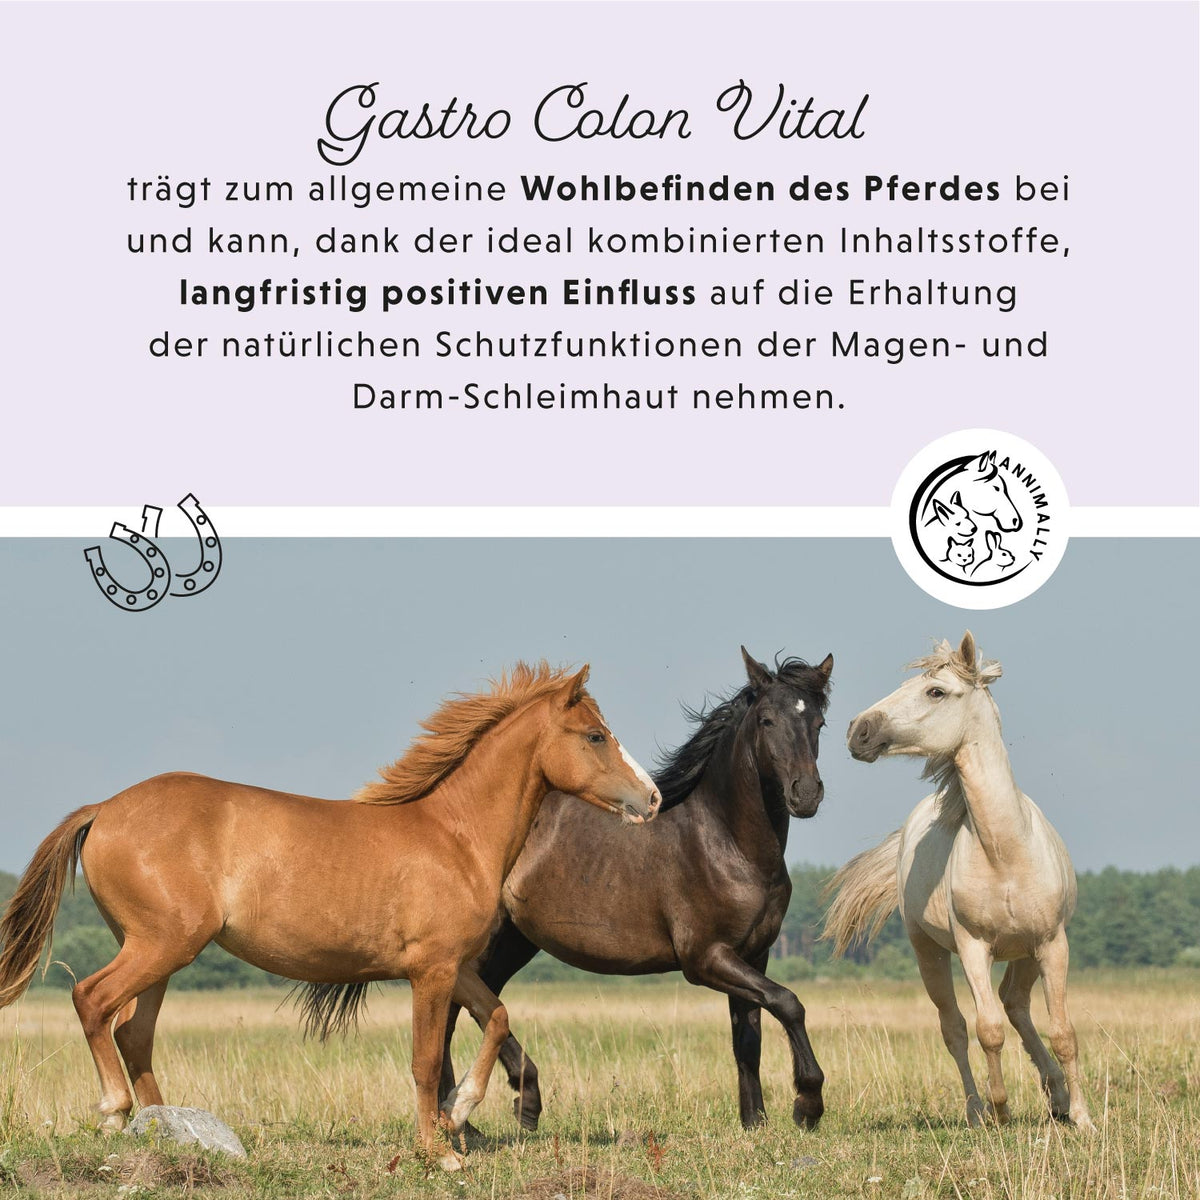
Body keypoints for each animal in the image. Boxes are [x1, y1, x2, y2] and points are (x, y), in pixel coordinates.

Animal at [0, 662, 661, 1170]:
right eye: (595, 735)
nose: (651, 798)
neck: (454, 835)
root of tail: (104, 808)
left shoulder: (453, 967)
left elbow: (496, 1018)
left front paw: (459, 1113)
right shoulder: (430, 972)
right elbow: (425, 1060)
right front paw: (437, 1150)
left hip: (159, 953)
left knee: (133, 1031)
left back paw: (167, 1129)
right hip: (161, 945)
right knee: (93, 1000)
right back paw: (115, 1113)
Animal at [440, 648, 834, 1132]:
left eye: (819, 722)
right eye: (767, 720)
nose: (806, 794)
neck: (726, 843)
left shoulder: (752, 956)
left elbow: (748, 1039)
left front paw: (754, 1122)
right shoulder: (705, 958)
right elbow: (788, 1002)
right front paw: (807, 1104)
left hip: (514, 941)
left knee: (479, 1004)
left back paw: (513, 1105)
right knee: (451, 1012)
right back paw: (467, 1118)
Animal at [824, 633, 1093, 1130]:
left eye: (936, 691)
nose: (858, 730)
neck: (1006, 852)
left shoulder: (1052, 944)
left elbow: (1063, 1031)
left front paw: (1083, 1119)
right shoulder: (973, 948)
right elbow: (987, 1030)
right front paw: (1001, 1110)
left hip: (1027, 952)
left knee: (1016, 1004)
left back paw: (1058, 1097)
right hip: (928, 951)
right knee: (956, 1028)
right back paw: (976, 1110)